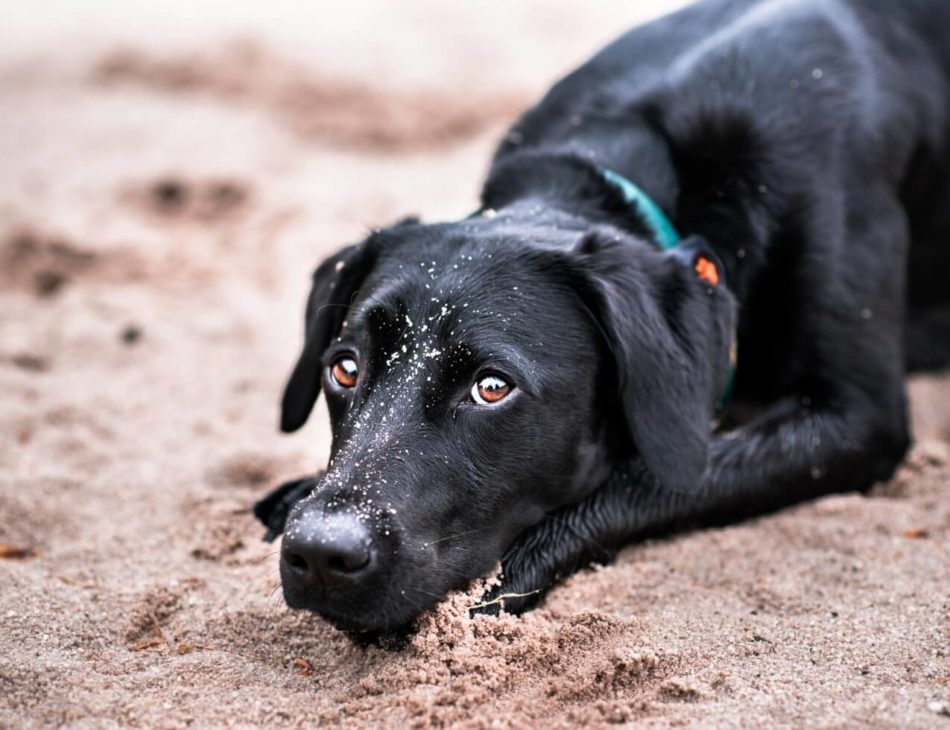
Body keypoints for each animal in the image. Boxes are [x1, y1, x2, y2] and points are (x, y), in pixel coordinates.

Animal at [255, 0, 950, 632]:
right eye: (344, 369)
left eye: (491, 387)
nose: (319, 554)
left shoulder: (858, 417)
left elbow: (653, 476)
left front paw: (514, 571)